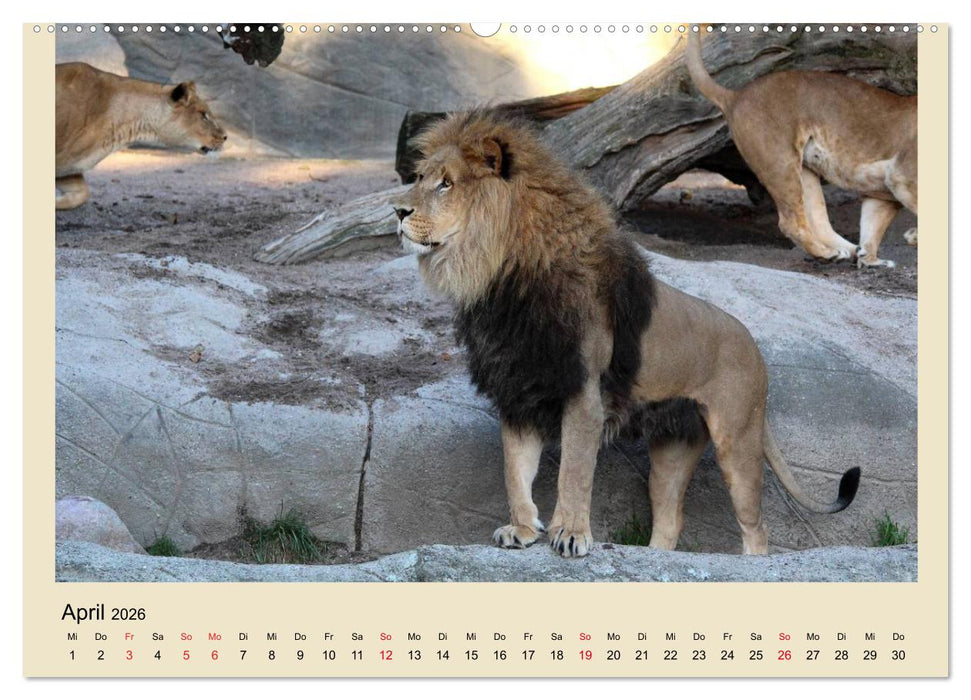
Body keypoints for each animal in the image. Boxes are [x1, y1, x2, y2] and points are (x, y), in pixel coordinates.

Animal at [393, 111, 860, 557]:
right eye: (420, 178)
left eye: (447, 184)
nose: (397, 212)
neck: (501, 278)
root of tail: (756, 348)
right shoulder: (520, 392)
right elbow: (515, 471)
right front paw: (522, 529)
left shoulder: (584, 394)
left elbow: (574, 472)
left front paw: (571, 535)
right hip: (673, 448)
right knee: (670, 521)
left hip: (737, 438)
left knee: (756, 526)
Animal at [686, 31, 917, 268]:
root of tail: (735, 95)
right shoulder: (903, 178)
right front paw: (912, 237)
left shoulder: (885, 194)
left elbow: (872, 228)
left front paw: (871, 260)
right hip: (780, 163)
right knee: (790, 223)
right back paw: (828, 254)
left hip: (805, 172)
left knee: (818, 222)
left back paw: (850, 251)